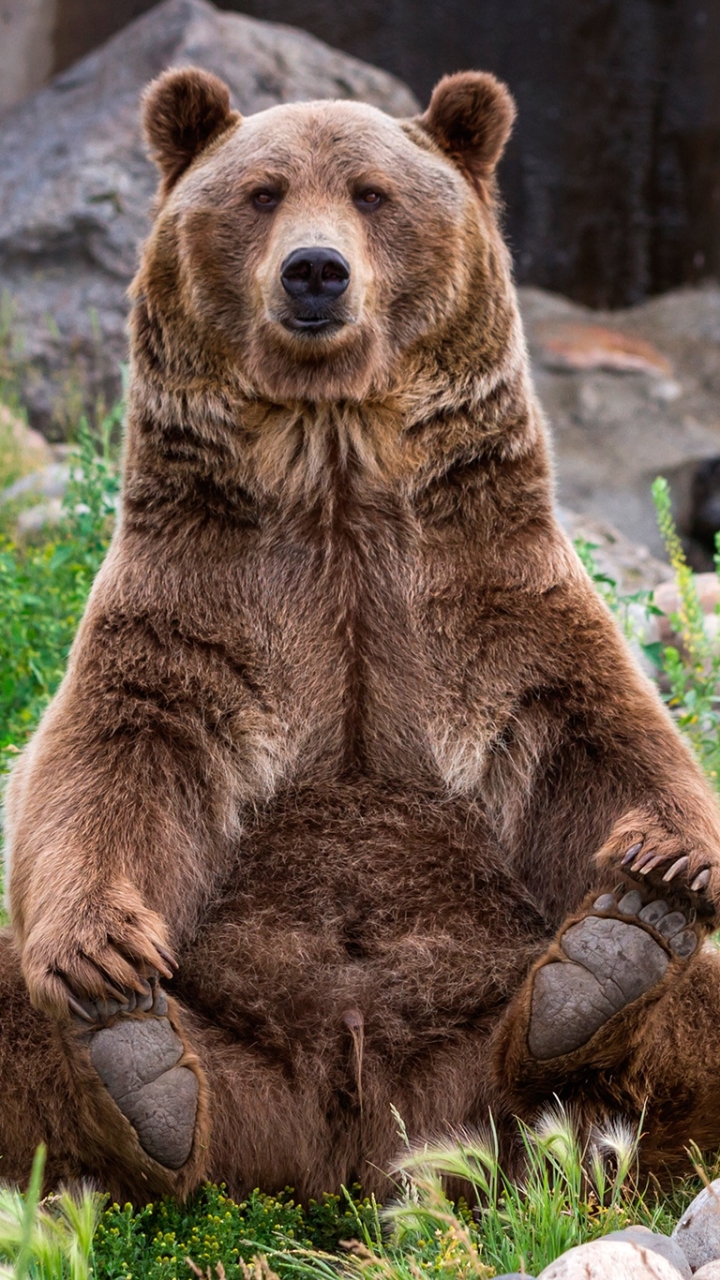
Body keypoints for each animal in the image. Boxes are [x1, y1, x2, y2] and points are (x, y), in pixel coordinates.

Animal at [4, 64, 717, 1203]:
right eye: (260, 193)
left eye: (374, 193)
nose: (315, 272)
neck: (333, 468)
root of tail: (356, 1144)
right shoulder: (197, 605)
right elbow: (108, 760)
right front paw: (99, 958)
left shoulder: (486, 596)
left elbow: (598, 735)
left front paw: (664, 865)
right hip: (241, 1067)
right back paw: (138, 1067)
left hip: (476, 1055)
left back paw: (609, 960)